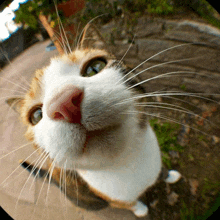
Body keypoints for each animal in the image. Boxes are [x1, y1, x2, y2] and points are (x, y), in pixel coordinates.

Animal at [5, 23, 181, 217]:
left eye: (94, 67)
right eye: (36, 115)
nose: (63, 103)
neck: (129, 162)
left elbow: (161, 171)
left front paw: (170, 175)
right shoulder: (113, 197)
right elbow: (129, 204)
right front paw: (141, 210)